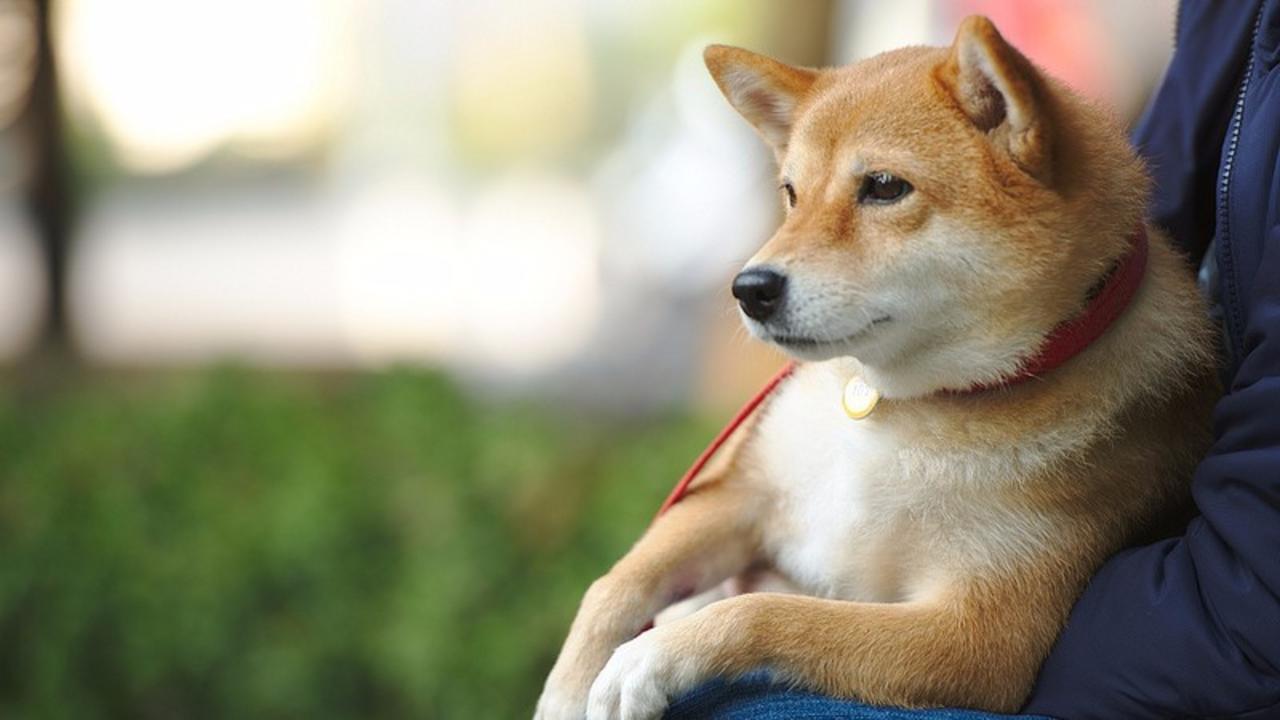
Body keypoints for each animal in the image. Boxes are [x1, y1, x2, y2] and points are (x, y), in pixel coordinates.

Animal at [535, 15, 1216, 719]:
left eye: (885, 187)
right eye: (791, 194)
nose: (749, 288)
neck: (897, 408)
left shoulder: (979, 635)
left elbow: (768, 612)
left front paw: (652, 655)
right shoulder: (740, 491)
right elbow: (612, 585)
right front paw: (566, 689)